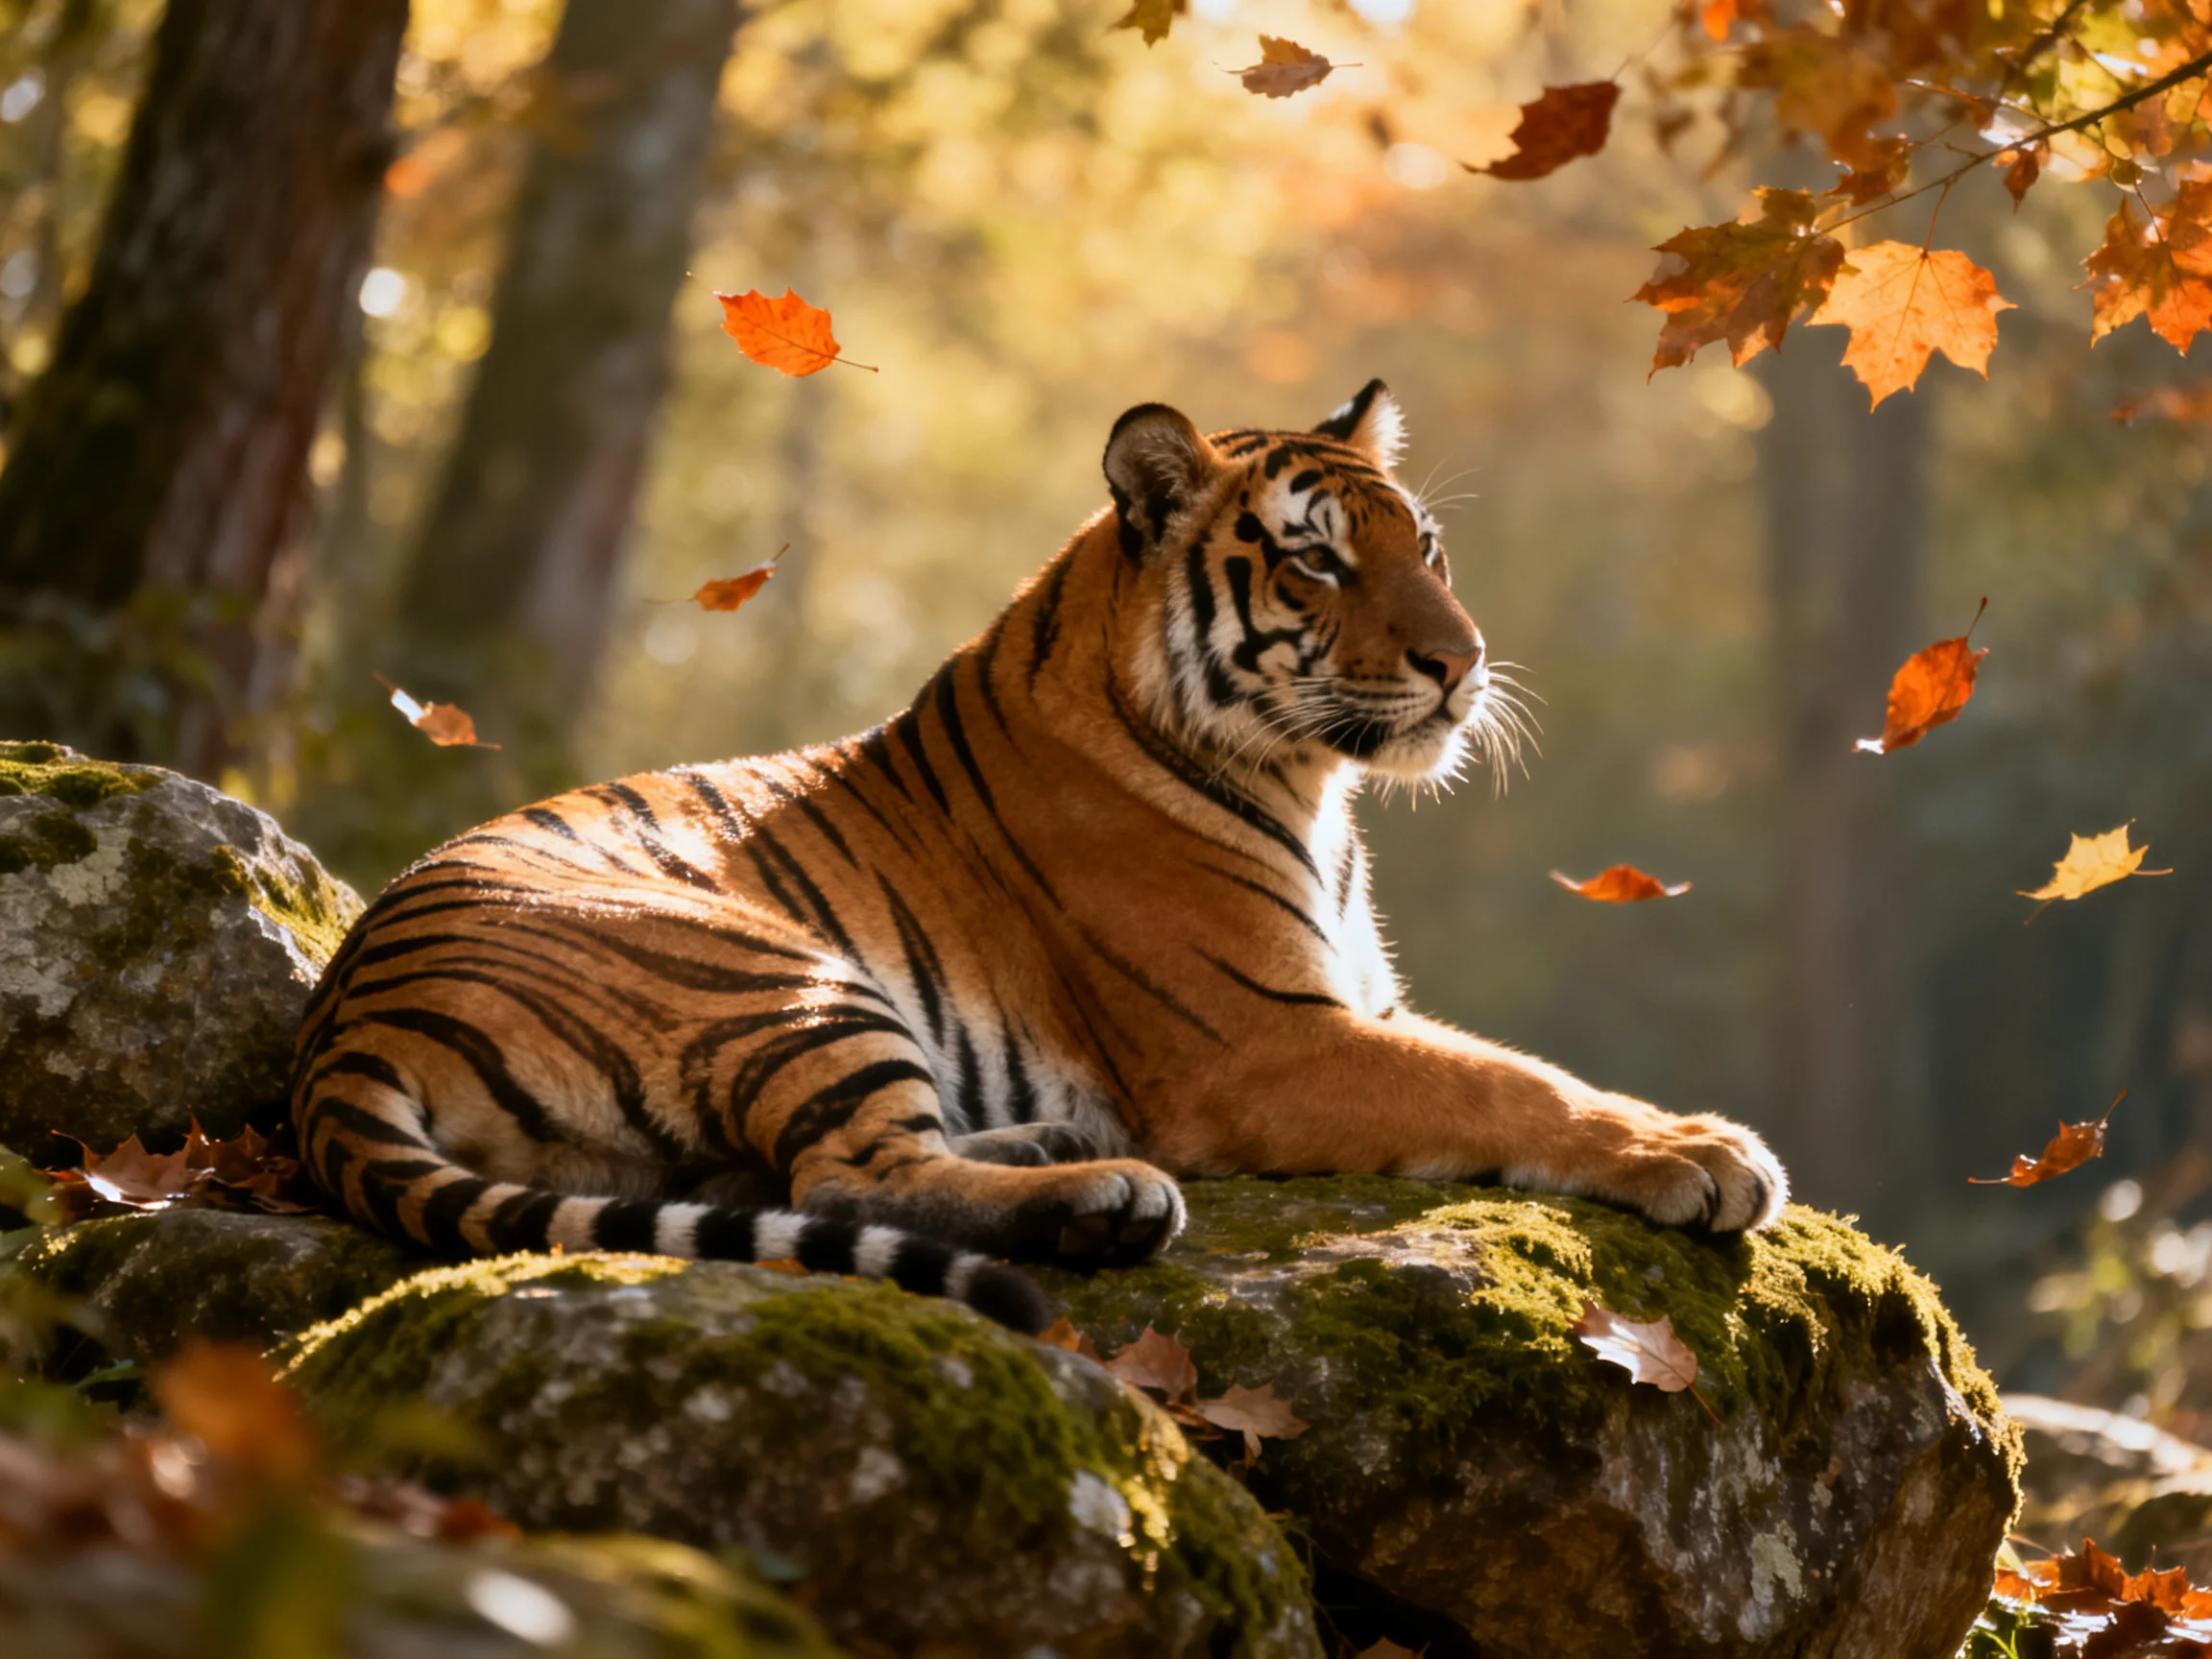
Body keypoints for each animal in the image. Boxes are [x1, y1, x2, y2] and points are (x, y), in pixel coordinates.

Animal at [290, 381, 1788, 1334]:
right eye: (1314, 563)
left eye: (1425, 547)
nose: (1463, 662)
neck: (1311, 787)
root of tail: (338, 1027)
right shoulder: (1264, 1039)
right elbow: (1508, 1085)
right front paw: (1698, 1149)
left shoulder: (1348, 1010)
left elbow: (1501, 1067)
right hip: (780, 973)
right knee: (849, 1178)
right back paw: (1102, 1196)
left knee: (765, 1180)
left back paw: (1061, 1144)